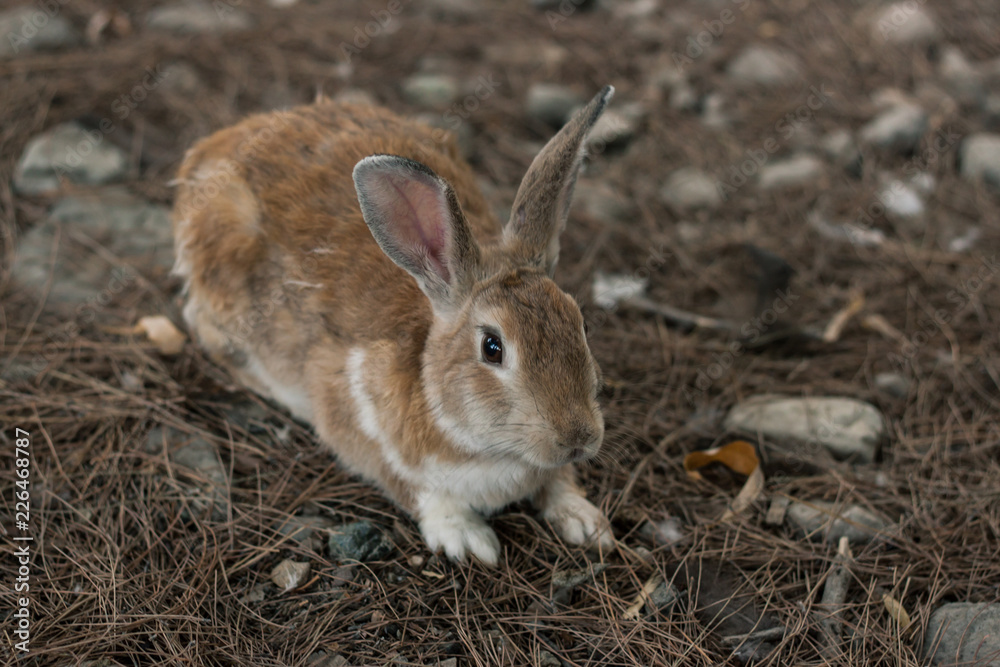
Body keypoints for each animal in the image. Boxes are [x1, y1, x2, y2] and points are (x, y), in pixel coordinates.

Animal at [171, 85, 616, 566]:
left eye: (581, 325)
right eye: (492, 347)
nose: (577, 439)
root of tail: (212, 149)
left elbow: (557, 481)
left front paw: (586, 521)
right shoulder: (361, 424)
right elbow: (414, 488)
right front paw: (467, 538)